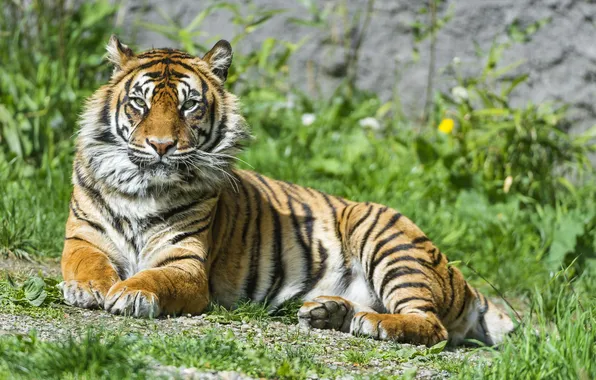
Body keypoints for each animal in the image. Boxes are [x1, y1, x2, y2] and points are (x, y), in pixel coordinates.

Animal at [59, 35, 516, 348]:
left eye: (190, 105)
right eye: (140, 102)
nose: (161, 145)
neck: (143, 188)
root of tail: (462, 280)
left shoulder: (185, 263)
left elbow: (156, 277)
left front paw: (131, 292)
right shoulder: (82, 238)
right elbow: (85, 262)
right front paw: (88, 288)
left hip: (385, 236)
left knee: (431, 325)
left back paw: (375, 324)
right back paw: (329, 313)